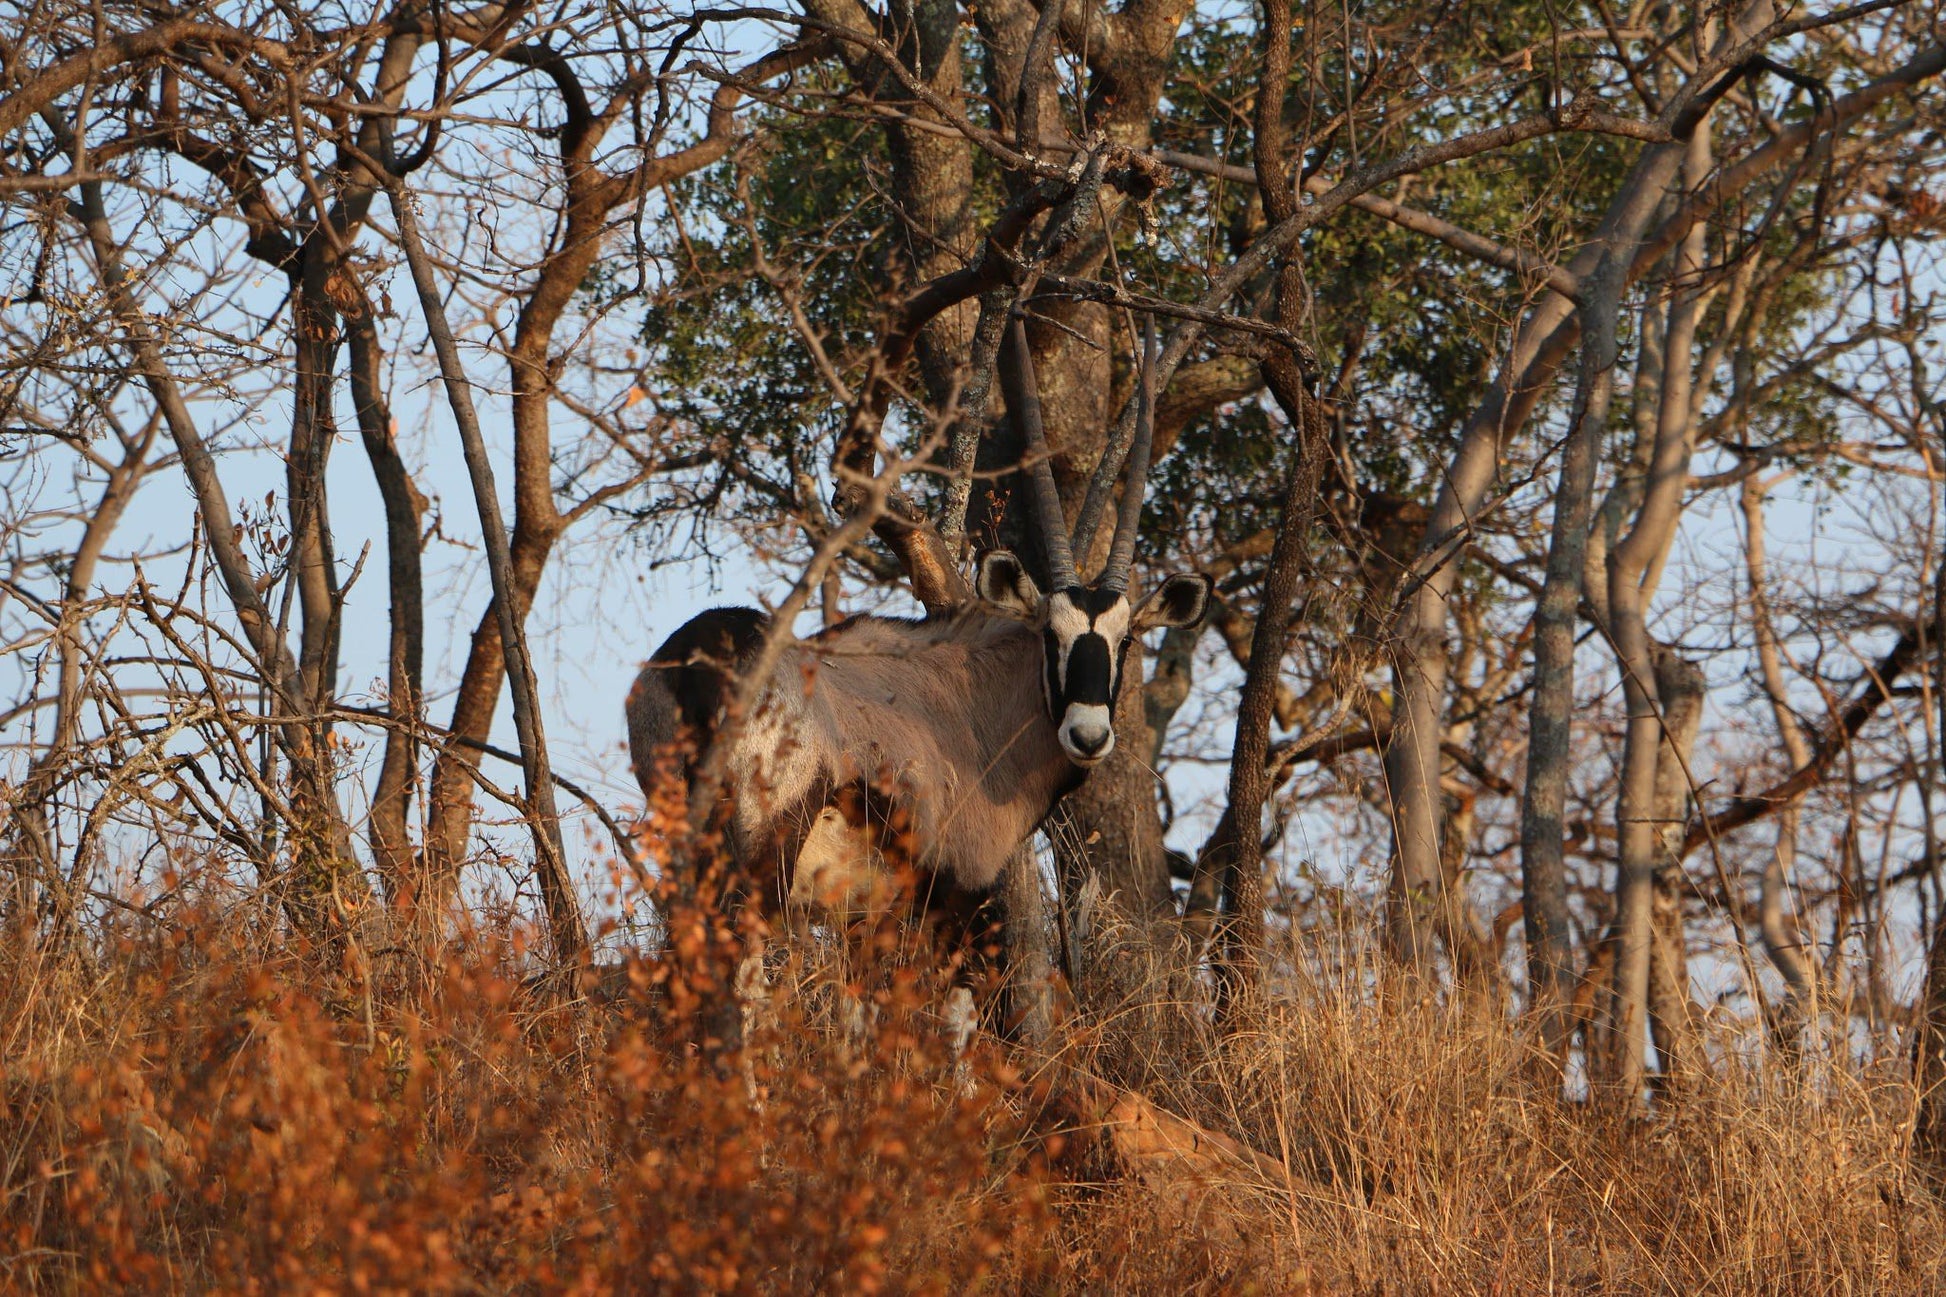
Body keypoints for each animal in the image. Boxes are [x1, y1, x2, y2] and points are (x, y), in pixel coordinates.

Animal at [622, 315, 1206, 989]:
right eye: (1049, 635)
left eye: (1125, 639)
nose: (1088, 734)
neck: (972, 707)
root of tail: (704, 659)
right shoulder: (951, 898)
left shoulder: (862, 919)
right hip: (761, 854)